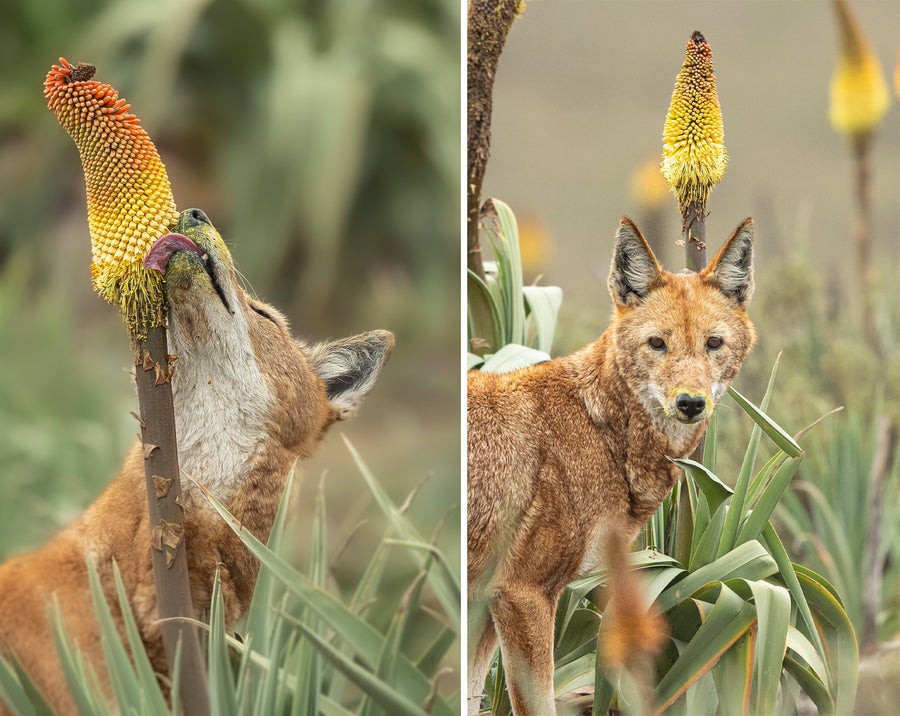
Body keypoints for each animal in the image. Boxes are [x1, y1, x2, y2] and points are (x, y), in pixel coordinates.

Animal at [467, 217, 755, 715]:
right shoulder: (522, 594)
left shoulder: (489, 606)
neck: (596, 426)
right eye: (657, 343)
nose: (691, 403)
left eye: (713, 344)